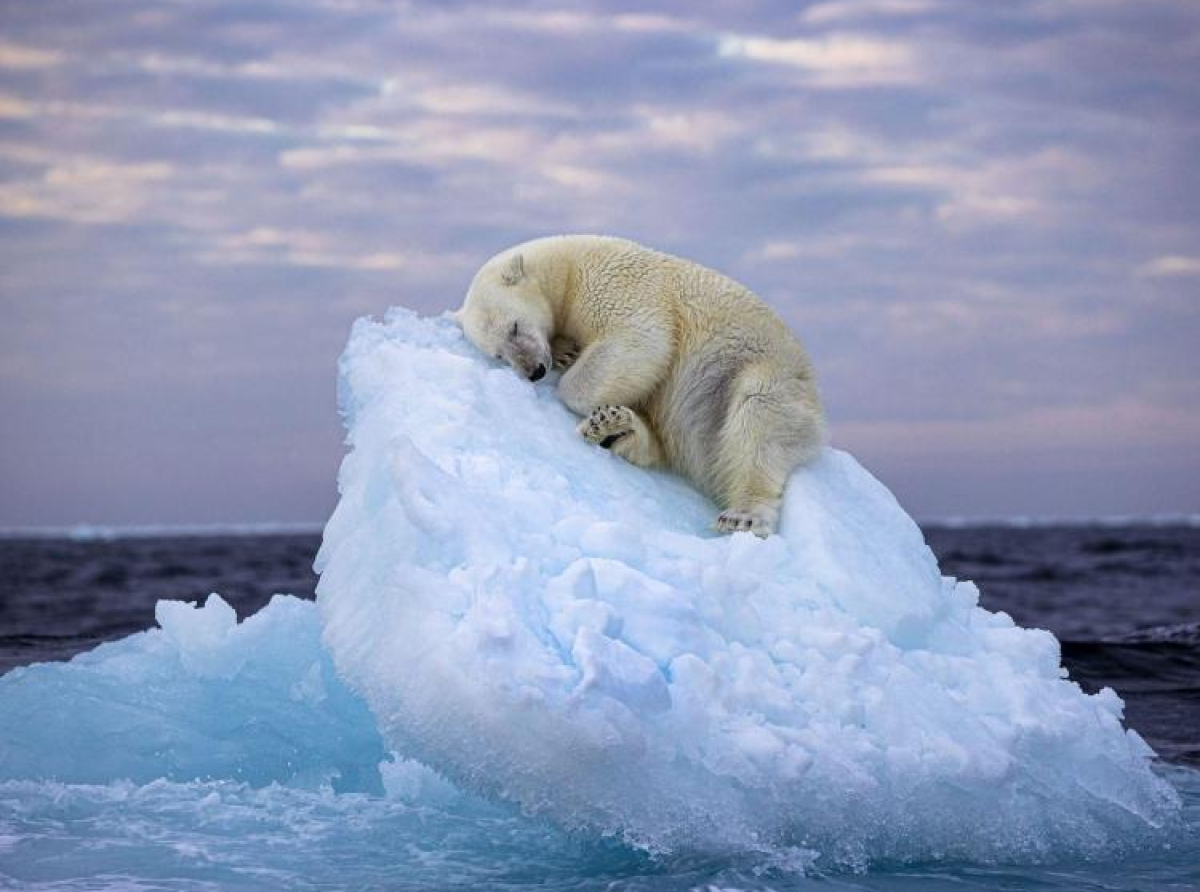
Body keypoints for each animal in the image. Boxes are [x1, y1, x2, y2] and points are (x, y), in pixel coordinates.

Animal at [456, 234, 825, 537]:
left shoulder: (615, 284)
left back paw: (743, 515)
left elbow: (641, 340)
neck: (567, 267)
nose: (533, 370)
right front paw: (565, 352)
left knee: (759, 420)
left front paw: (570, 373)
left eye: (514, 327)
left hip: (762, 372)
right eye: (499, 354)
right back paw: (614, 428)